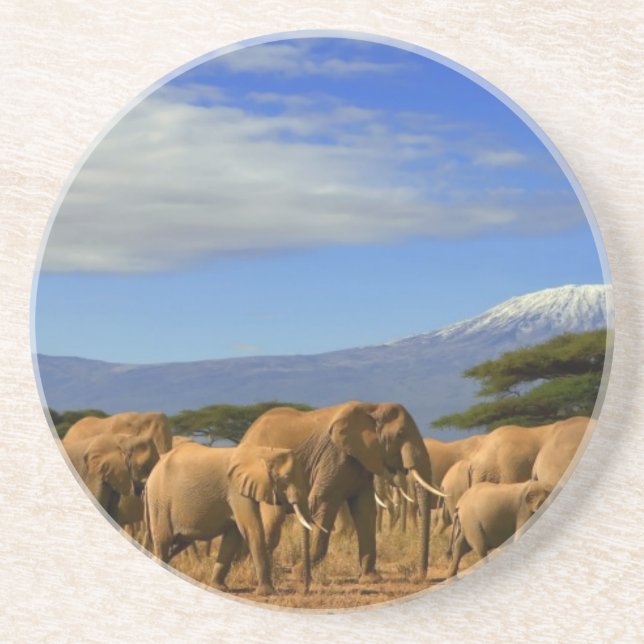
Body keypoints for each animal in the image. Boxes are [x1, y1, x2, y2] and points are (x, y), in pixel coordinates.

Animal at [143, 441, 314, 596]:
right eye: (286, 478)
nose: (305, 590)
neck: (263, 452)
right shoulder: (236, 490)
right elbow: (251, 529)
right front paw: (266, 592)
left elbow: (233, 536)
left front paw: (219, 588)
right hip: (159, 501)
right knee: (163, 541)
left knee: (177, 544)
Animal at [239, 401, 445, 586]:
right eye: (401, 434)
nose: (420, 576)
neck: (373, 407)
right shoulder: (334, 457)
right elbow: (323, 503)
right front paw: (298, 574)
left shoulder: (362, 460)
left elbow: (365, 510)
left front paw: (370, 579)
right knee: (273, 520)